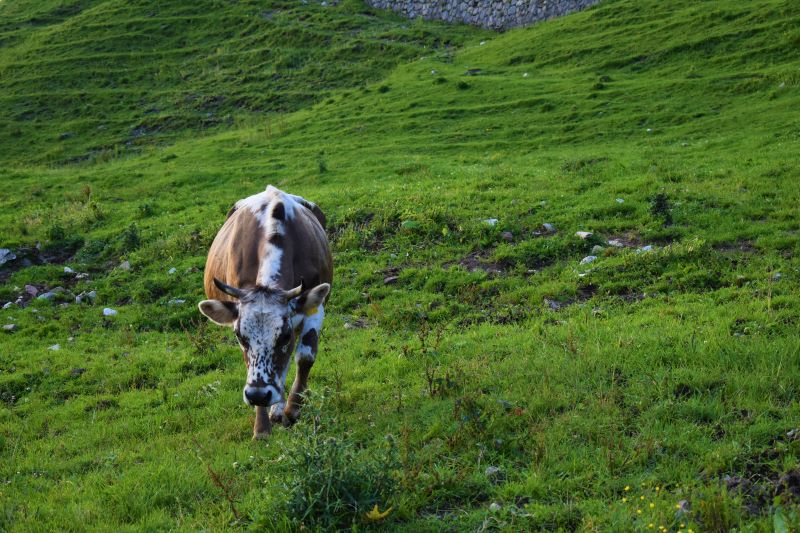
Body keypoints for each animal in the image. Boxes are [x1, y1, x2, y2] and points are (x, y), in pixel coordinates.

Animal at [198, 185, 332, 438]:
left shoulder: (314, 306)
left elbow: (305, 356)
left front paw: (292, 409)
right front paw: (261, 429)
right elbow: (252, 365)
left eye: (284, 336)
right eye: (240, 337)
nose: (258, 395)